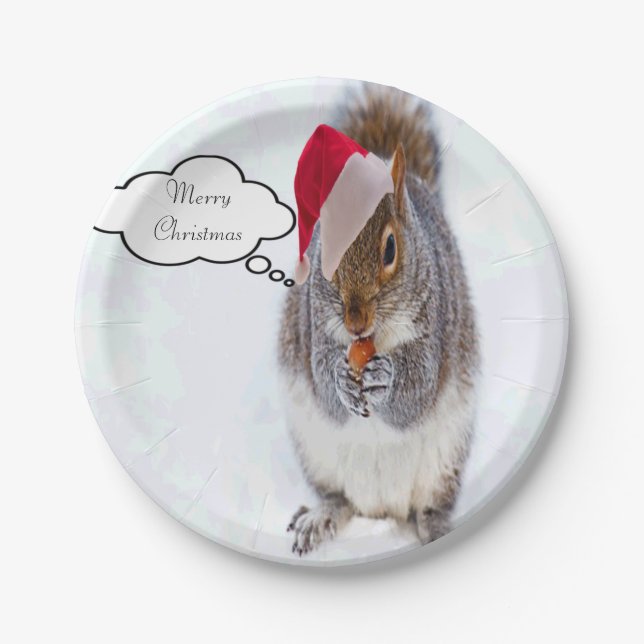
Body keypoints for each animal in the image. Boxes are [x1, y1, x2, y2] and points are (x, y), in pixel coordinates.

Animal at [278, 86, 480, 556]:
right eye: (321, 247)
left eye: (390, 248)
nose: (355, 322)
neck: (373, 339)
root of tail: (382, 510)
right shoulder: (314, 330)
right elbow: (324, 387)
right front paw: (339, 378)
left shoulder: (434, 326)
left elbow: (417, 393)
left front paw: (386, 377)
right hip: (317, 452)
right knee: (340, 499)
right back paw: (321, 516)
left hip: (445, 459)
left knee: (430, 508)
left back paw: (436, 527)